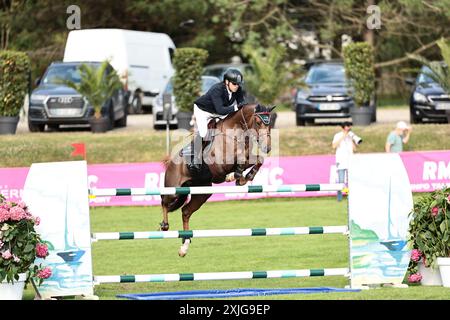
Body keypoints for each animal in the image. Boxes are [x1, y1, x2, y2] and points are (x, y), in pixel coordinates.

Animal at [160, 104, 276, 256]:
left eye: (270, 124)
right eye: (257, 122)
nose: (267, 147)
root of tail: (170, 163)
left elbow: (257, 159)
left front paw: (243, 177)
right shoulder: (221, 164)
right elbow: (240, 158)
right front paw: (235, 176)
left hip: (202, 193)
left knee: (185, 211)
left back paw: (184, 246)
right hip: (174, 189)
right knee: (164, 201)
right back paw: (164, 225)